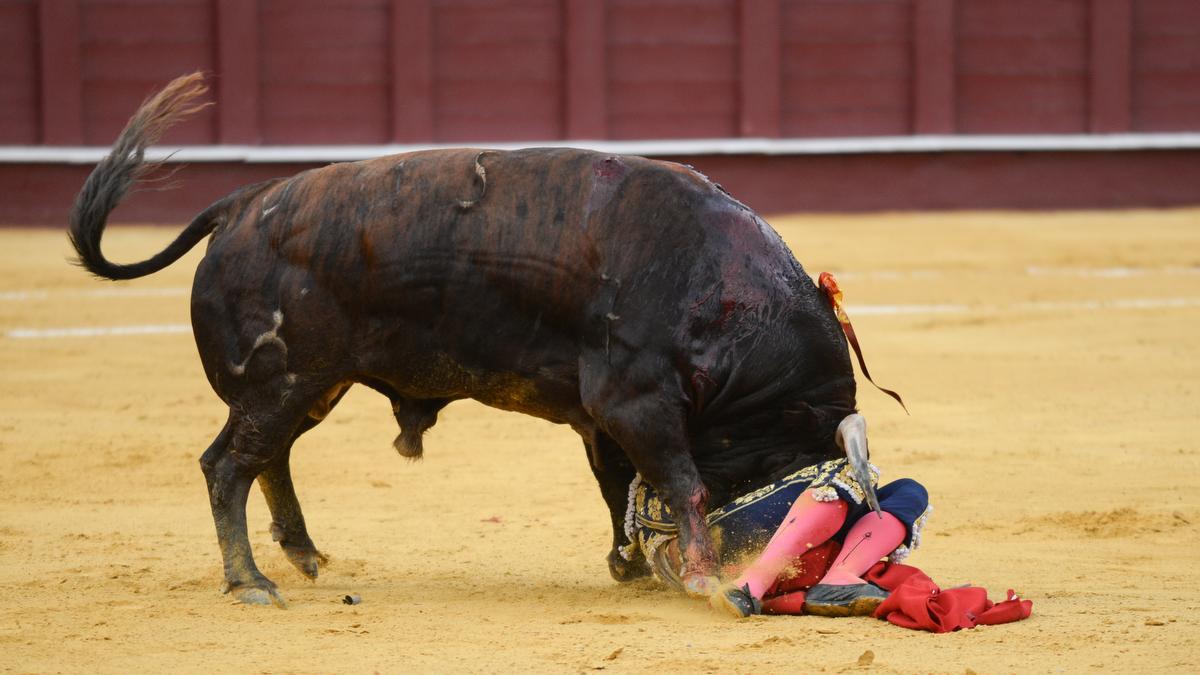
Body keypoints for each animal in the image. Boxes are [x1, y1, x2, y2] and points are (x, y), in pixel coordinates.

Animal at [68, 73, 864, 605]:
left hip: (310, 384)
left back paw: (303, 555)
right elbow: (681, 482)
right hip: (280, 382)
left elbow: (619, 486)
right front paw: (700, 576)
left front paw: (630, 566)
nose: (764, 555)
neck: (724, 294)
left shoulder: (605, 417)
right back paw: (252, 582)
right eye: (785, 459)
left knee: (267, 458)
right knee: (228, 467)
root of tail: (240, 205)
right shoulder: (635, 402)